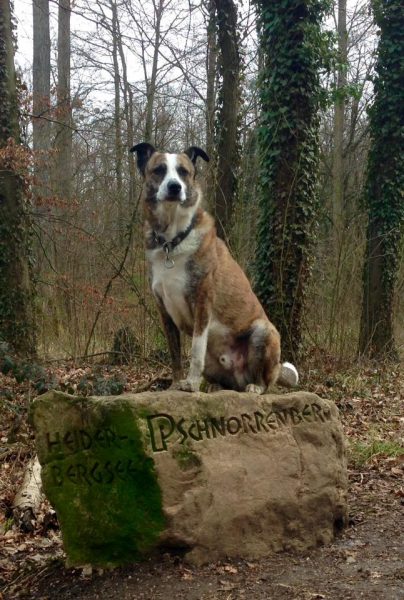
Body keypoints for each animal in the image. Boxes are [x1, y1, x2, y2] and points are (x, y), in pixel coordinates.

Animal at [130, 142, 298, 393]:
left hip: (263, 331)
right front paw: (175, 384)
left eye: (183, 171)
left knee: (265, 381)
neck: (173, 242)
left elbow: (195, 350)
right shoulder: (163, 310)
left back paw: (255, 387)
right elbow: (175, 354)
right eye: (159, 170)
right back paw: (217, 388)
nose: (174, 187)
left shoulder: (202, 301)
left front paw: (190, 384)